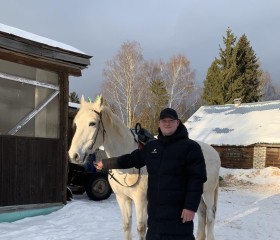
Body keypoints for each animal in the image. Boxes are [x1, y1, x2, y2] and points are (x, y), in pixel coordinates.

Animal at [68, 96, 221, 240]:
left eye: (92, 123)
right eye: (76, 124)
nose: (73, 155)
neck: (127, 169)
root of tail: (214, 153)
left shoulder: (140, 201)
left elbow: (141, 228)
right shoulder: (122, 199)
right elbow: (127, 226)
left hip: (207, 193)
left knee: (210, 216)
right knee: (202, 214)